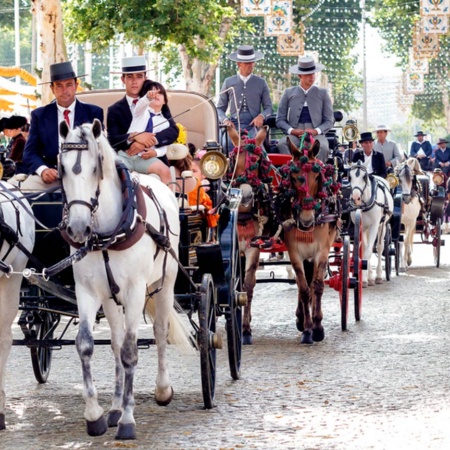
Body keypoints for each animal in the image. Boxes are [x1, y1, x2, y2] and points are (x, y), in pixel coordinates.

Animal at [59, 119, 192, 440]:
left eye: (96, 166)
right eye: (62, 168)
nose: (78, 228)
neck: (109, 234)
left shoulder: (135, 292)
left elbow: (131, 352)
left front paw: (128, 421)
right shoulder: (87, 292)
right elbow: (87, 345)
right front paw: (95, 414)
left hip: (165, 284)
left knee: (159, 332)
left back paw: (161, 390)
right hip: (111, 298)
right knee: (117, 342)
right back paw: (116, 407)